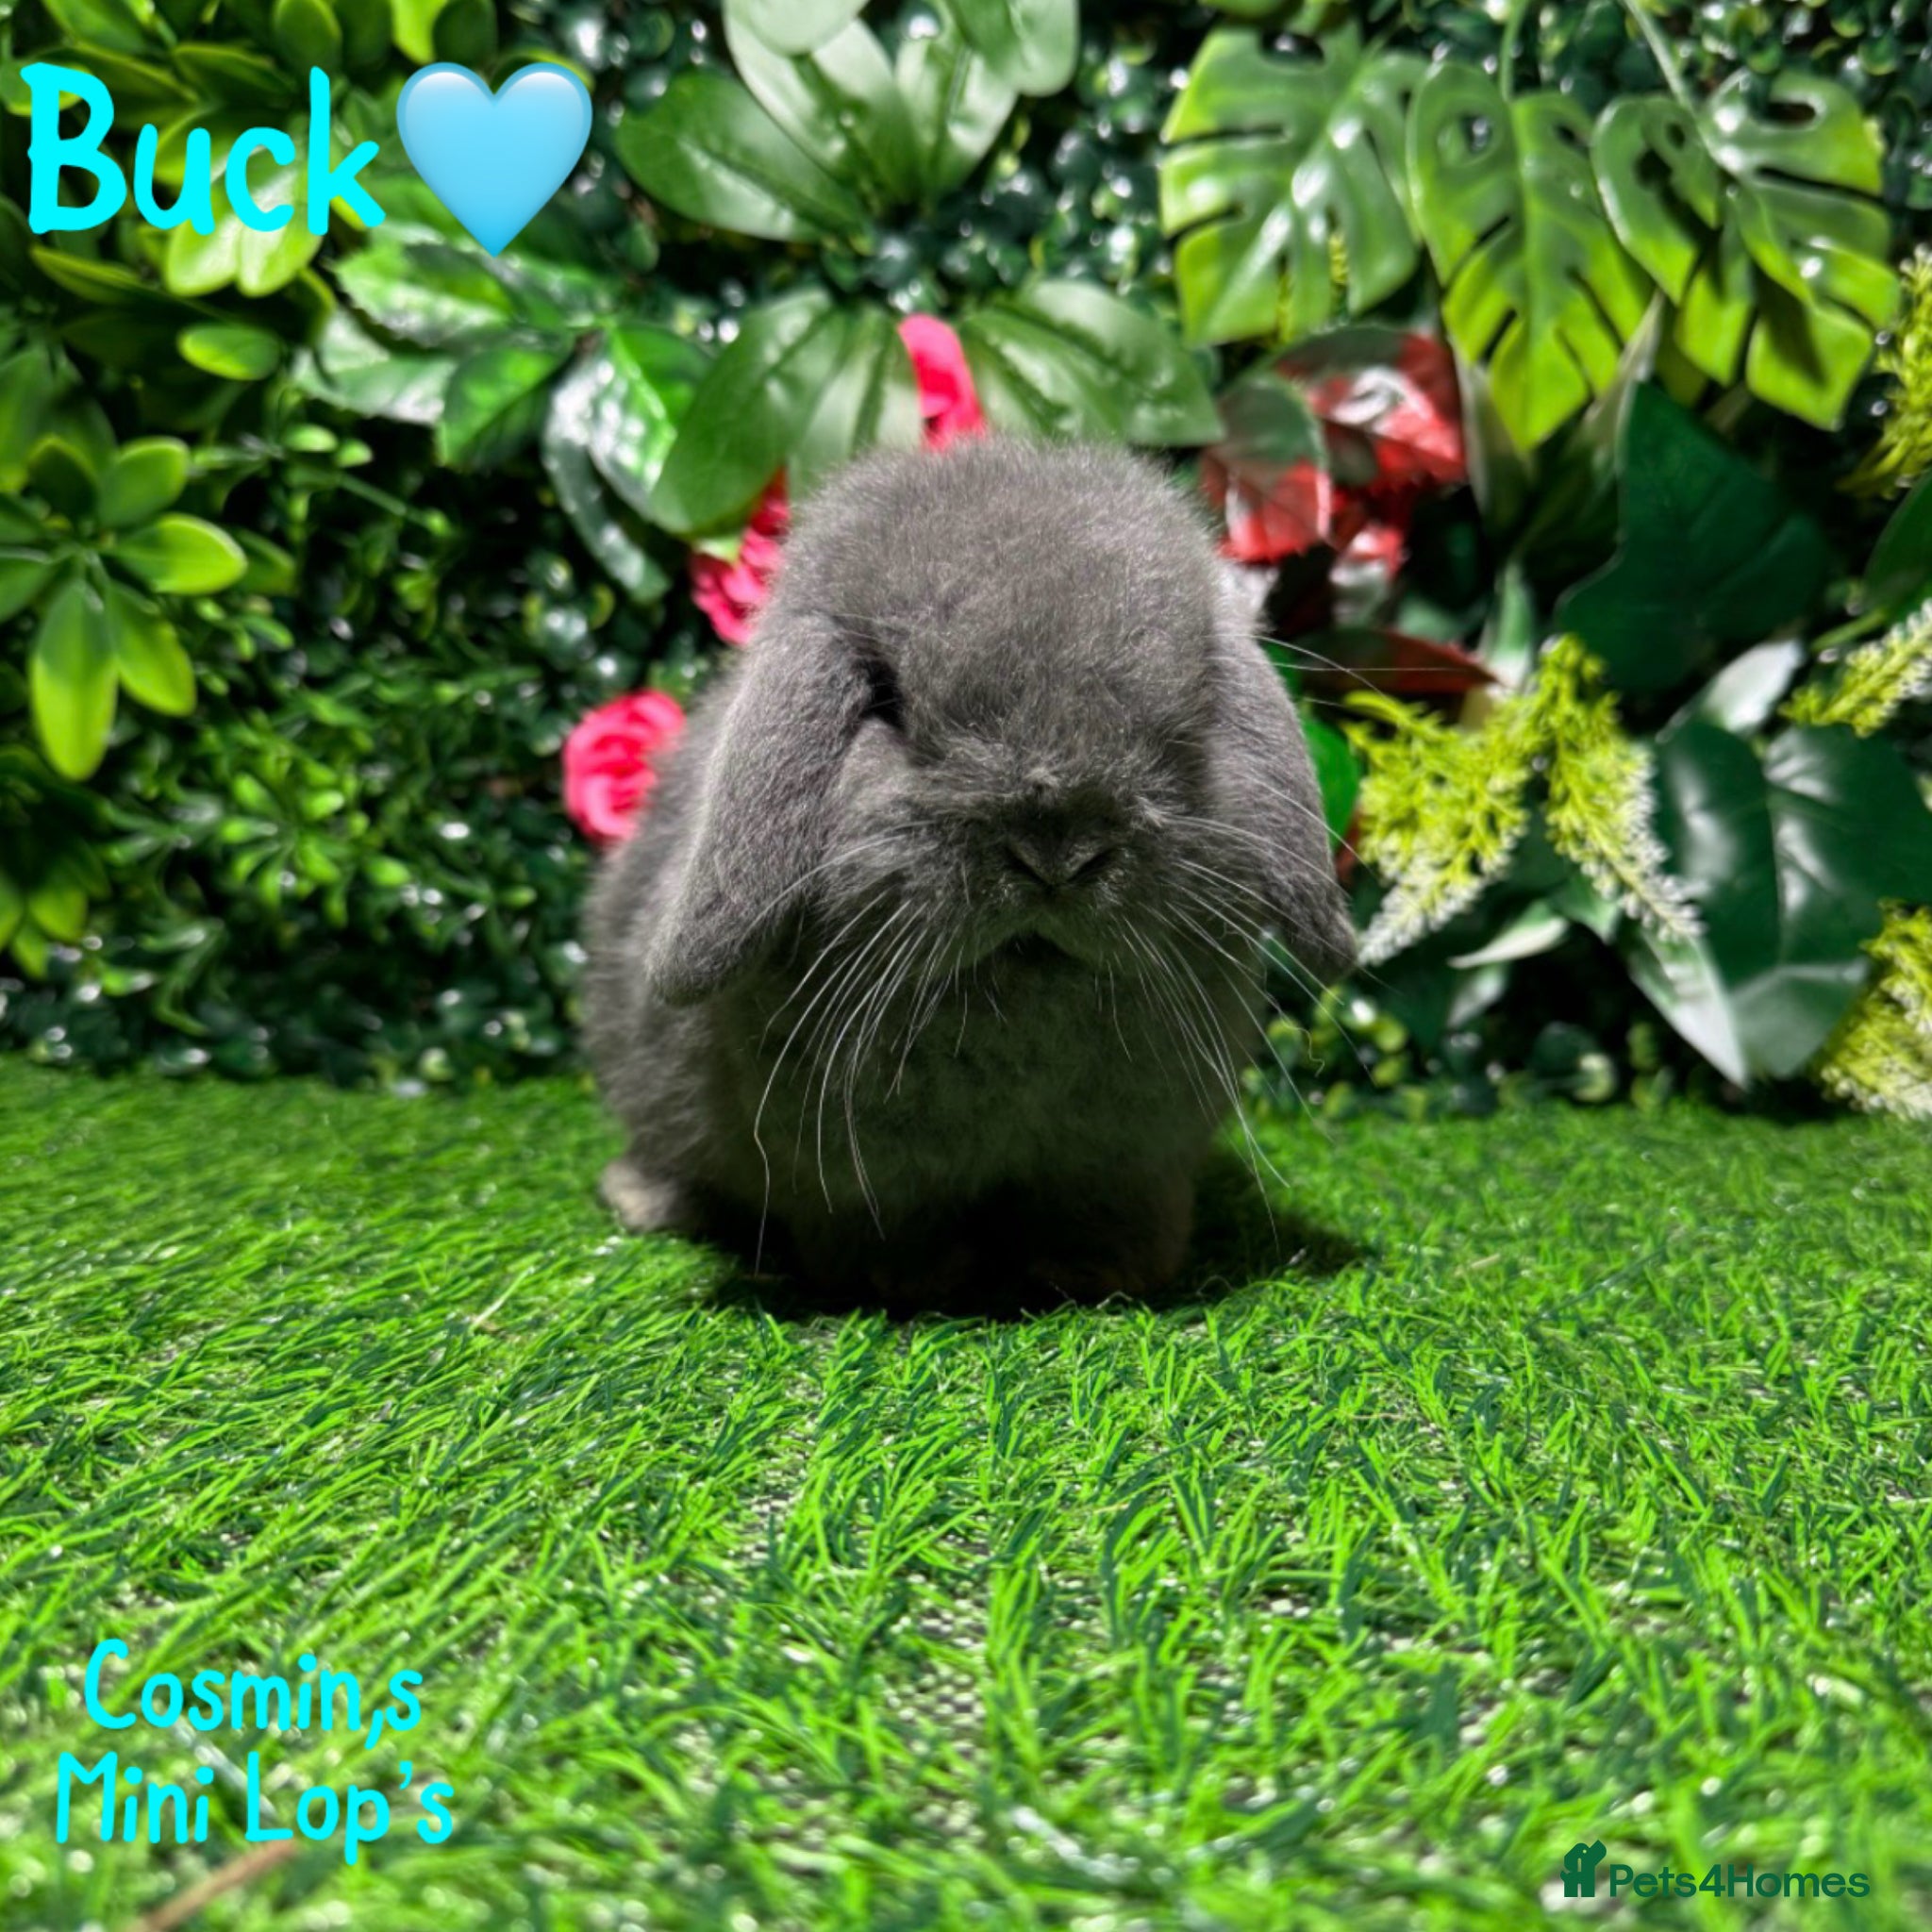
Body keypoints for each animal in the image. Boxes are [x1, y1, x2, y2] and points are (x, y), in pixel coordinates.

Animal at [583, 439, 1354, 1301]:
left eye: (1184, 718)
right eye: (886, 703)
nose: (1056, 855)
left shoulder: (1124, 1168)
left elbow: (1109, 1218)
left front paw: (1099, 1277)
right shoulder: (863, 1185)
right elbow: (884, 1233)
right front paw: (910, 1286)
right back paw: (643, 1200)